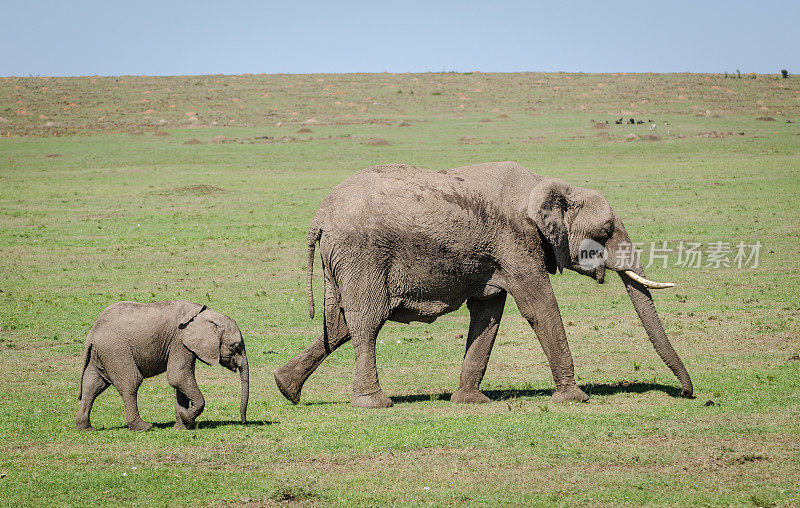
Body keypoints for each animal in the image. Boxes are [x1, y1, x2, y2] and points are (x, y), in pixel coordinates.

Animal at [77, 300, 250, 430]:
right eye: (236, 347)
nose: (243, 422)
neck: (206, 314)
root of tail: (92, 333)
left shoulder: (185, 345)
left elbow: (181, 382)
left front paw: (182, 425)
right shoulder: (179, 341)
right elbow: (178, 377)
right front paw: (186, 418)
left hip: (102, 354)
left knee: (91, 386)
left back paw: (86, 428)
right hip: (116, 351)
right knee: (131, 383)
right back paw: (144, 427)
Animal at [272, 161, 692, 406]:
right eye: (605, 232)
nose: (688, 394)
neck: (547, 185)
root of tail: (319, 217)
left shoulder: (496, 255)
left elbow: (488, 314)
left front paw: (469, 401)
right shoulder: (516, 242)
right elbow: (540, 307)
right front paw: (575, 399)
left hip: (344, 260)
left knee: (339, 323)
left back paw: (285, 388)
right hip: (362, 255)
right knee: (367, 321)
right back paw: (375, 403)